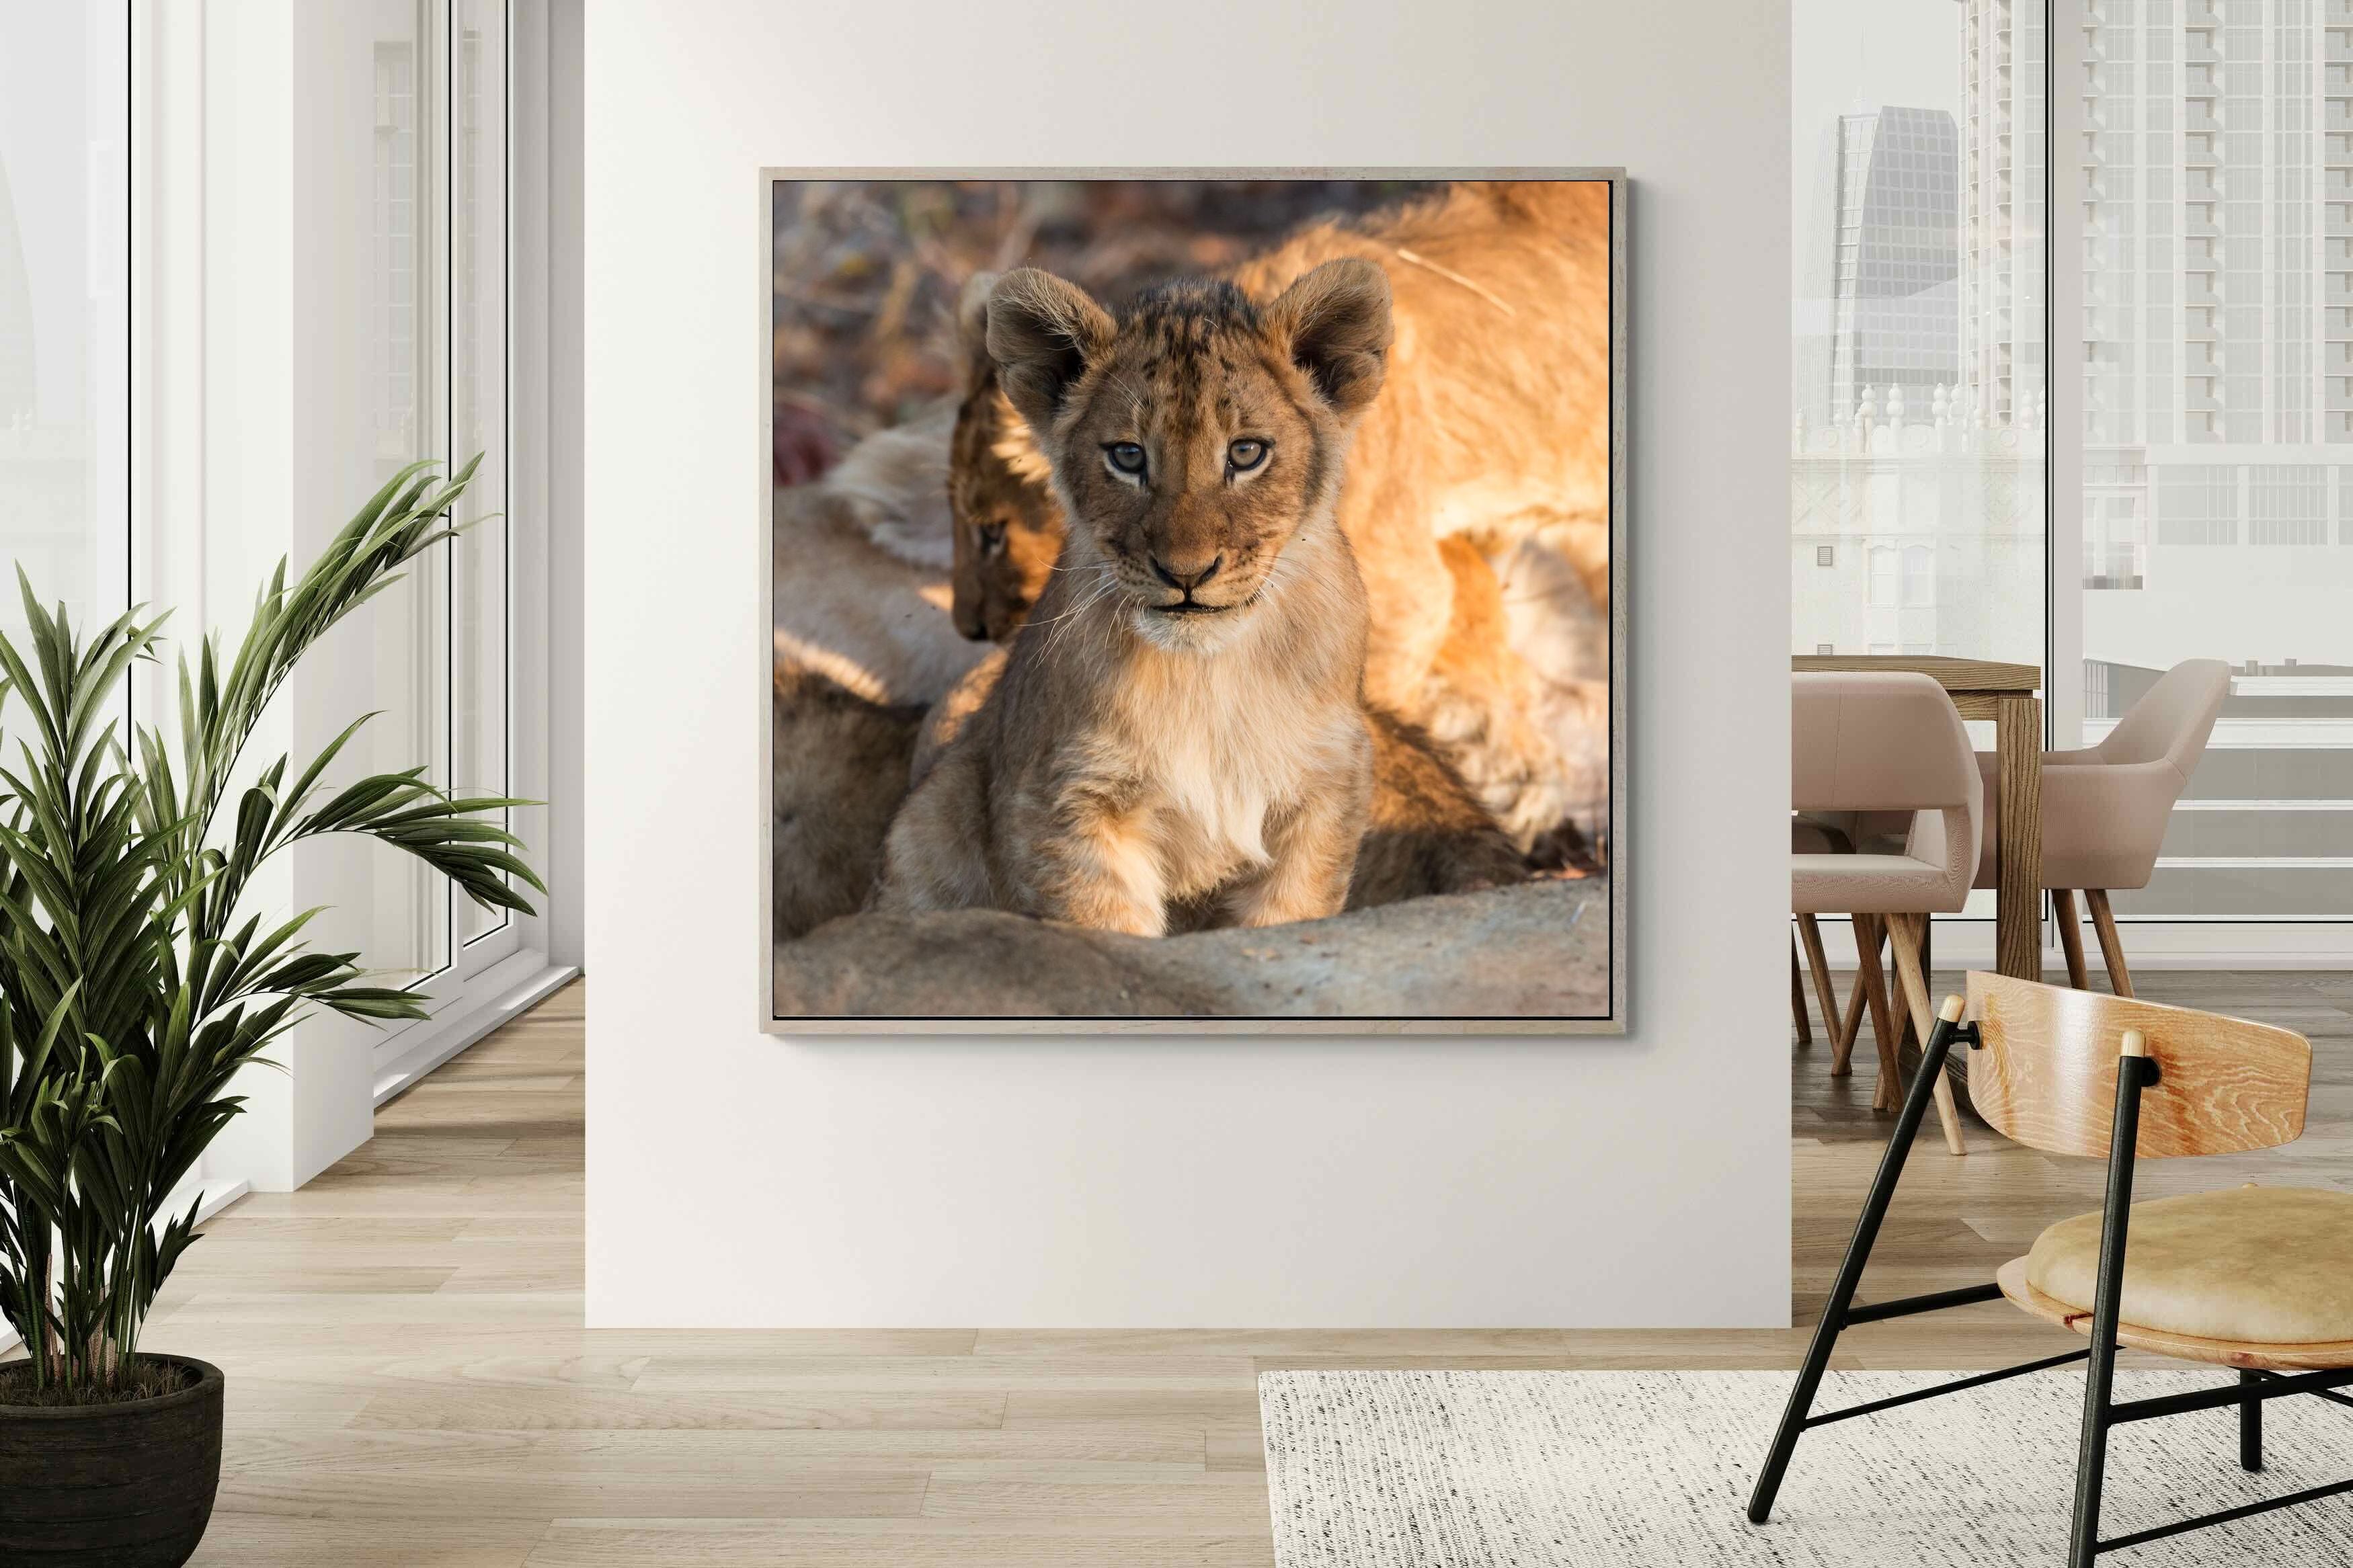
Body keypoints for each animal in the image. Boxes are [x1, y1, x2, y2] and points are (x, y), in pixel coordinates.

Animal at [874, 261, 1401, 934]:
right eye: (1127, 456)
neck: (1209, 676)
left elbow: (1289, 917)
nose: (1187, 573)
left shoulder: (1325, 789)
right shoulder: (1070, 799)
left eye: (1246, 453)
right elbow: (1106, 929)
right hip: (935, 816)